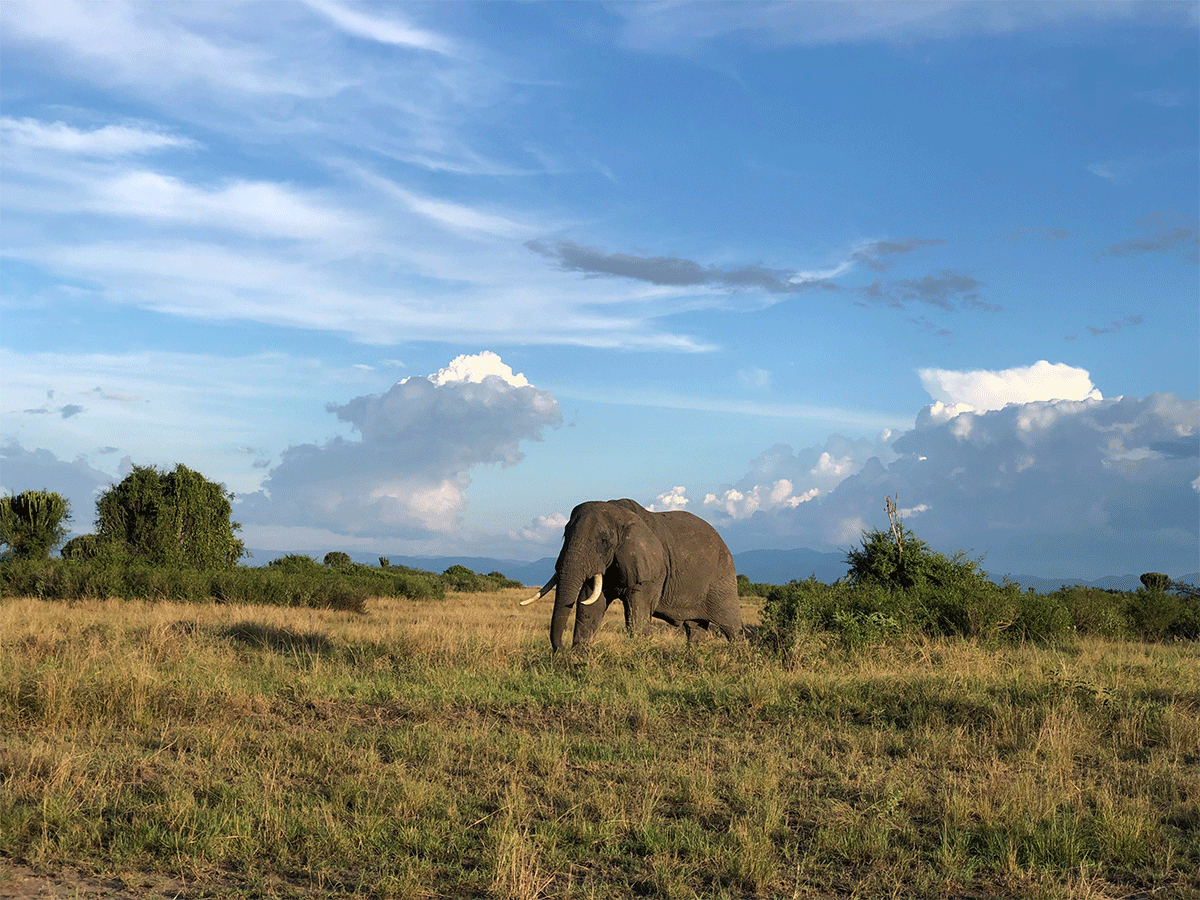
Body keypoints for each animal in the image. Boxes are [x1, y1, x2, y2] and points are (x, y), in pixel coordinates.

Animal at [523, 496, 739, 652]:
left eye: (604, 541)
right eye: (565, 534)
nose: (561, 650)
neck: (618, 513)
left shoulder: (650, 570)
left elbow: (637, 612)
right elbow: (590, 604)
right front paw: (579, 655)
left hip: (722, 579)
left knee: (732, 626)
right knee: (695, 628)